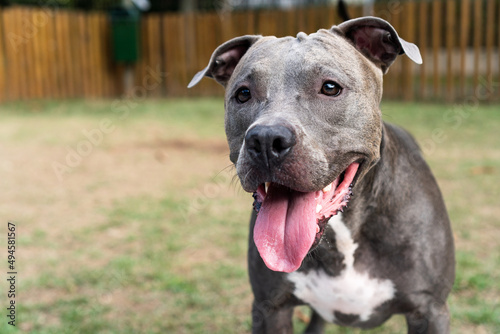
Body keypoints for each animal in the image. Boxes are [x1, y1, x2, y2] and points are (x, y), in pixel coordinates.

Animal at [188, 16, 454, 334]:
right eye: (242, 93)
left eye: (330, 87)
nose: (265, 139)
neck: (343, 233)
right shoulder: (270, 308)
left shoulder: (429, 311)